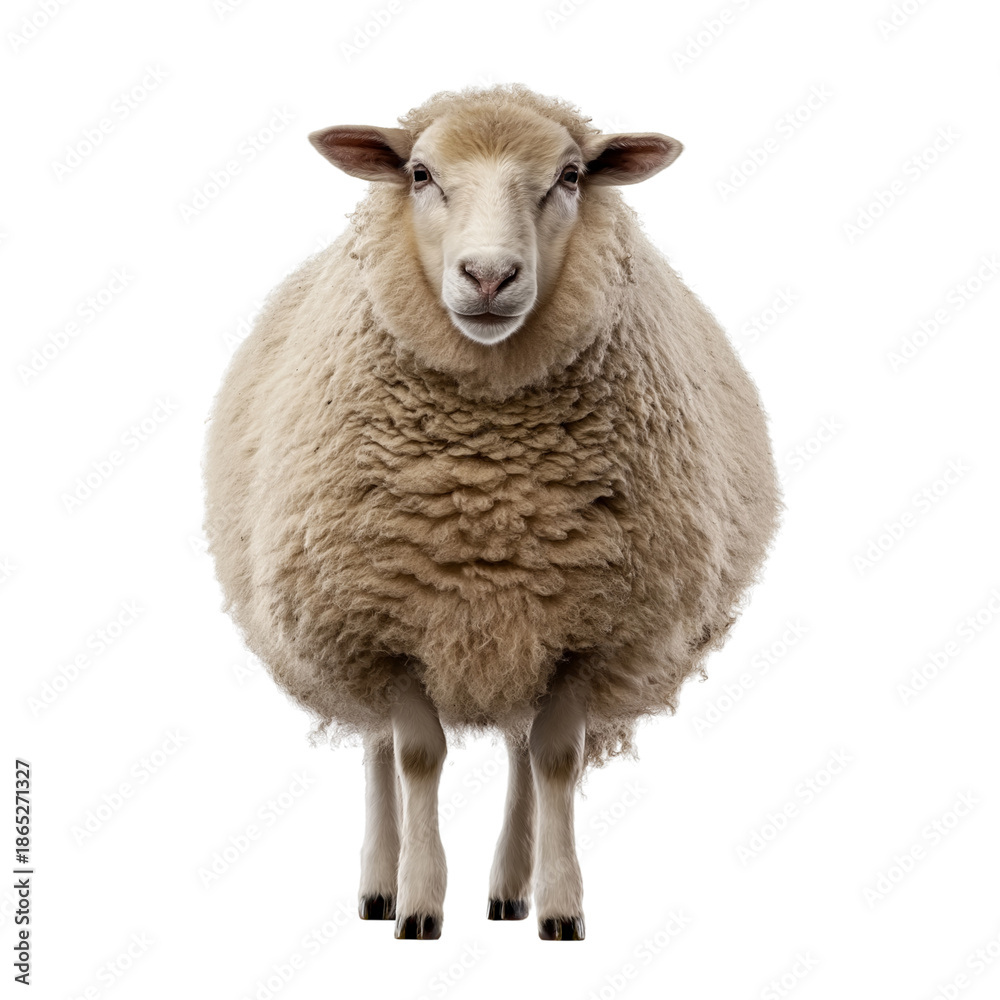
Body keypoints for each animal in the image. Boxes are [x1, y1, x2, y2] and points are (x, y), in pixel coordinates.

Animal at [203, 83, 781, 941]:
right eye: (419, 174)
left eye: (570, 176)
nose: (487, 274)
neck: (488, 479)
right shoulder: (386, 624)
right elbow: (415, 756)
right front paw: (418, 903)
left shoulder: (585, 628)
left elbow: (553, 759)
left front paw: (561, 906)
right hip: (340, 621)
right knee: (376, 749)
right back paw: (379, 886)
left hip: (522, 634)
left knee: (516, 749)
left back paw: (510, 890)